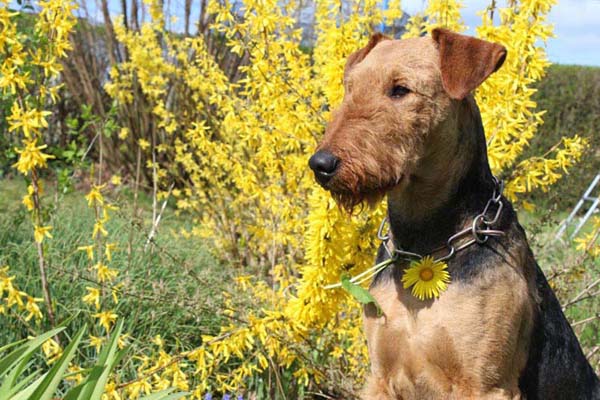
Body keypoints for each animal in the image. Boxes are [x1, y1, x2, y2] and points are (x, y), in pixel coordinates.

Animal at [310, 28, 600, 400]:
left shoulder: (486, 385)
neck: (422, 245)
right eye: (350, 87)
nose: (321, 164)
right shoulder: (380, 378)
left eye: (400, 89)